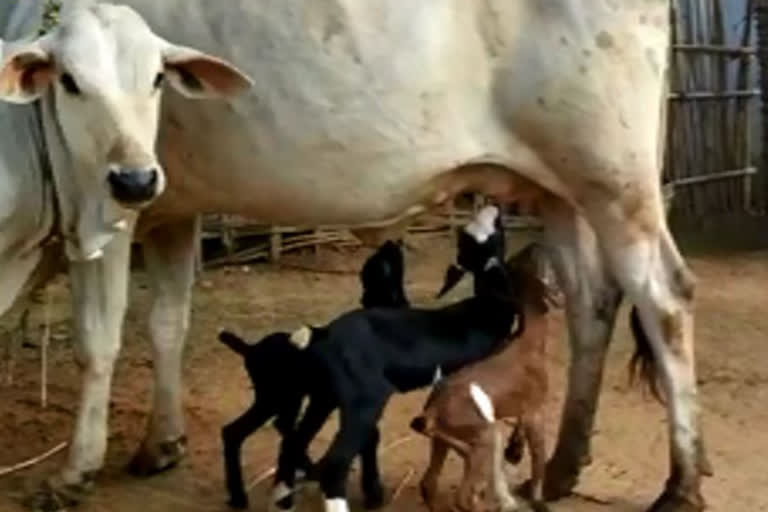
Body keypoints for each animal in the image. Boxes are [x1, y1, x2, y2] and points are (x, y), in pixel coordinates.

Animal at [220, 240, 408, 508]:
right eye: (382, 267)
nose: (391, 242)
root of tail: (250, 348)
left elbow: (370, 435)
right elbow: (370, 436)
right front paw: (373, 492)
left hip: (288, 398)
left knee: (270, 429)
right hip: (275, 397)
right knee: (244, 432)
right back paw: (247, 494)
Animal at [272, 206, 524, 512]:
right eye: (483, 238)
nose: (493, 209)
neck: (487, 307)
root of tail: (323, 334)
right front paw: (507, 476)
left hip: (324, 395)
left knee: (294, 442)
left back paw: (283, 497)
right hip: (364, 399)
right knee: (335, 462)